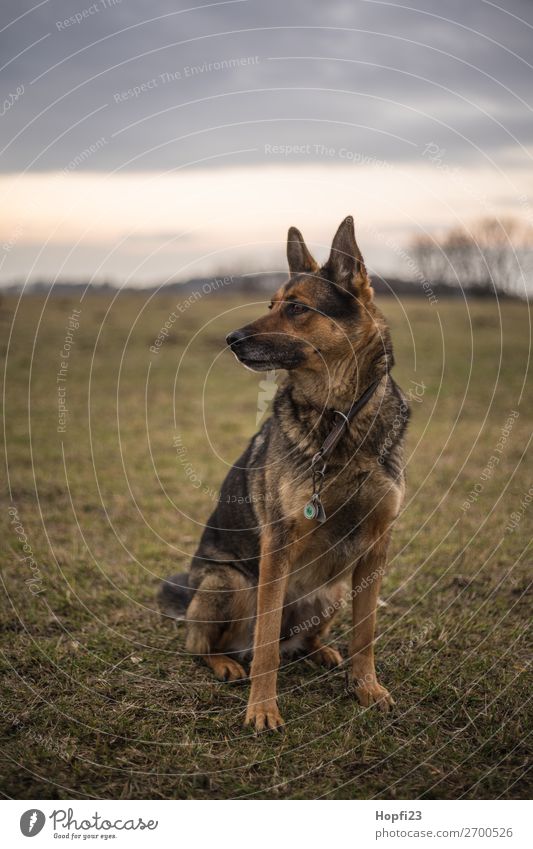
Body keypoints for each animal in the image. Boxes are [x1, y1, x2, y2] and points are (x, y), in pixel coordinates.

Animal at [158, 217, 408, 728]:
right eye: (270, 305)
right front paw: (262, 709)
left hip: (332, 591)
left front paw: (366, 687)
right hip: (230, 583)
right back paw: (227, 664)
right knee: (208, 644)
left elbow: (366, 633)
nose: (231, 339)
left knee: (301, 639)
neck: (339, 419)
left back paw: (323, 652)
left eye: (296, 308)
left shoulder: (376, 546)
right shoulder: (278, 542)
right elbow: (267, 645)